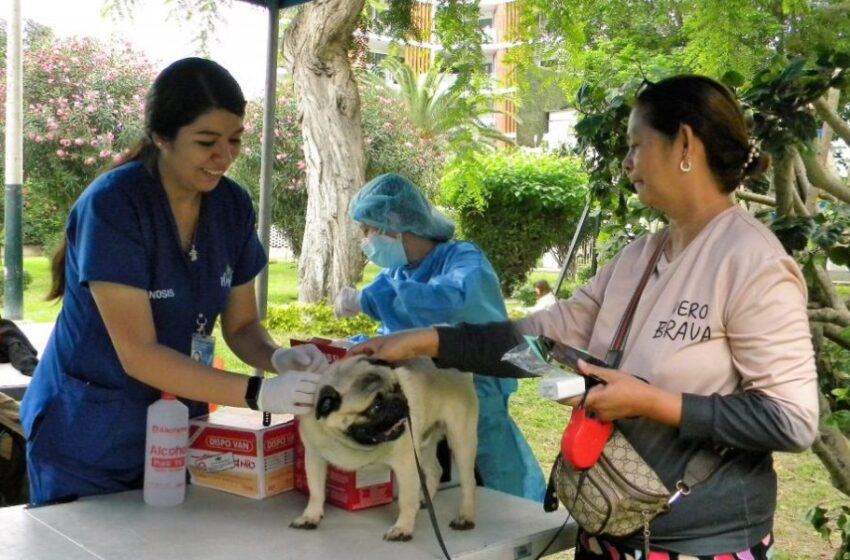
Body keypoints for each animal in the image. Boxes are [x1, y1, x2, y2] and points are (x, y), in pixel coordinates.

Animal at [290, 354, 476, 544]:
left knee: (469, 482)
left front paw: (402, 529)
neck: (351, 443)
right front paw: (310, 516)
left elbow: (406, 501)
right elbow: (316, 491)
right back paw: (424, 499)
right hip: (423, 445)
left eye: (398, 388)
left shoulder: (407, 464)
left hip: (460, 440)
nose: (398, 401)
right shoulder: (314, 458)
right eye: (375, 407)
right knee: (435, 471)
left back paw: (465, 517)